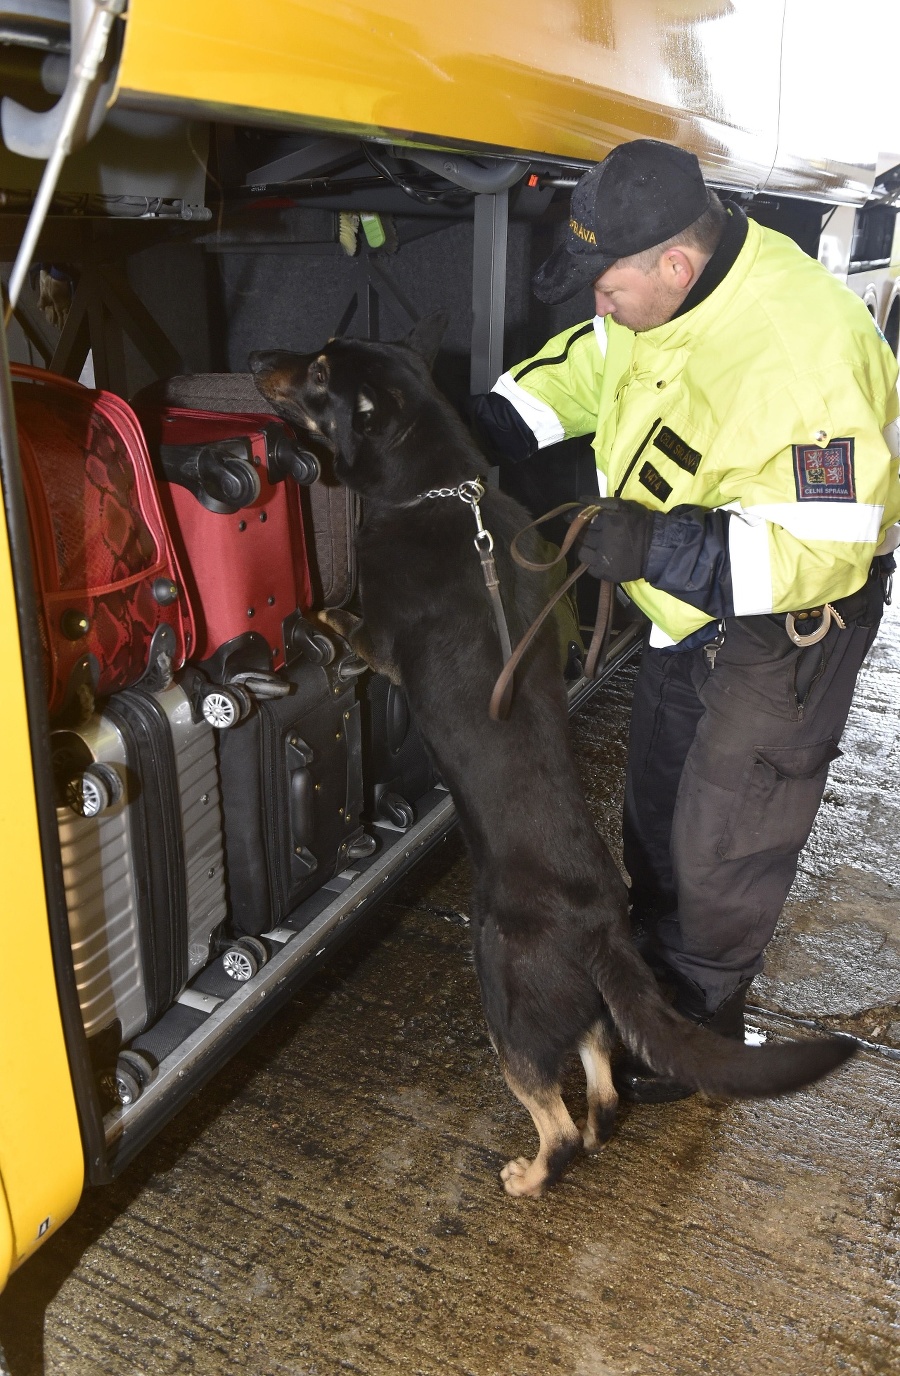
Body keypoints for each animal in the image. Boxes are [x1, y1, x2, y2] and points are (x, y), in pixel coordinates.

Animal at [250, 319, 858, 1194]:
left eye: (321, 372)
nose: (259, 360)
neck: (440, 487)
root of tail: (601, 929)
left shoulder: (380, 643)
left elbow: (339, 617)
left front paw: (307, 617)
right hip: (584, 1017)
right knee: (601, 1096)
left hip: (506, 999)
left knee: (563, 1124)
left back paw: (528, 1176)